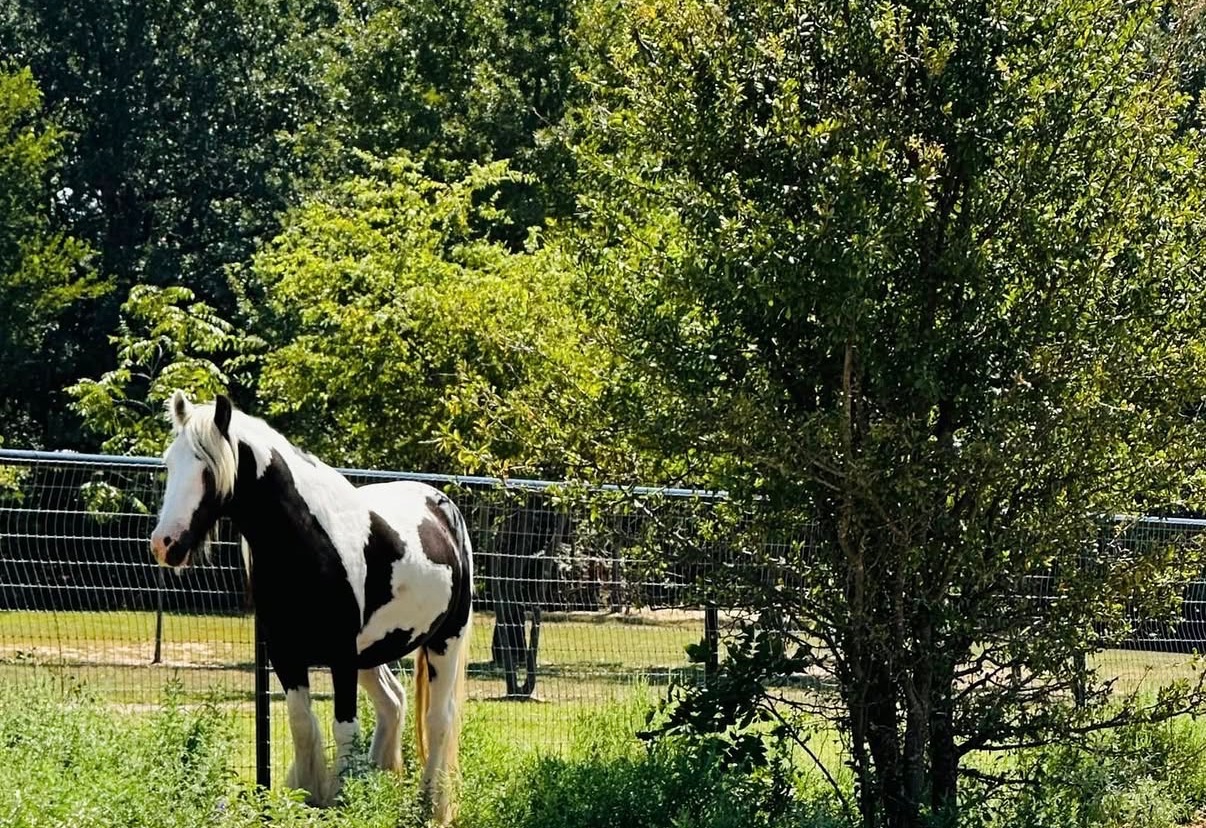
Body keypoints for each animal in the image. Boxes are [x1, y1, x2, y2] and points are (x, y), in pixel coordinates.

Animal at [148, 391, 473, 823]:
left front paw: (343, 802)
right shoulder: (286, 653)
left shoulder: (340, 655)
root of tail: (442, 507)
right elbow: (302, 724)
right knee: (393, 703)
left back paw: (430, 806)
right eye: (170, 463)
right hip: (373, 652)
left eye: (208, 470)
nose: (164, 544)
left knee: (438, 720)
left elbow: (344, 728)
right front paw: (308, 798)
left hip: (444, 640)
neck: (306, 540)